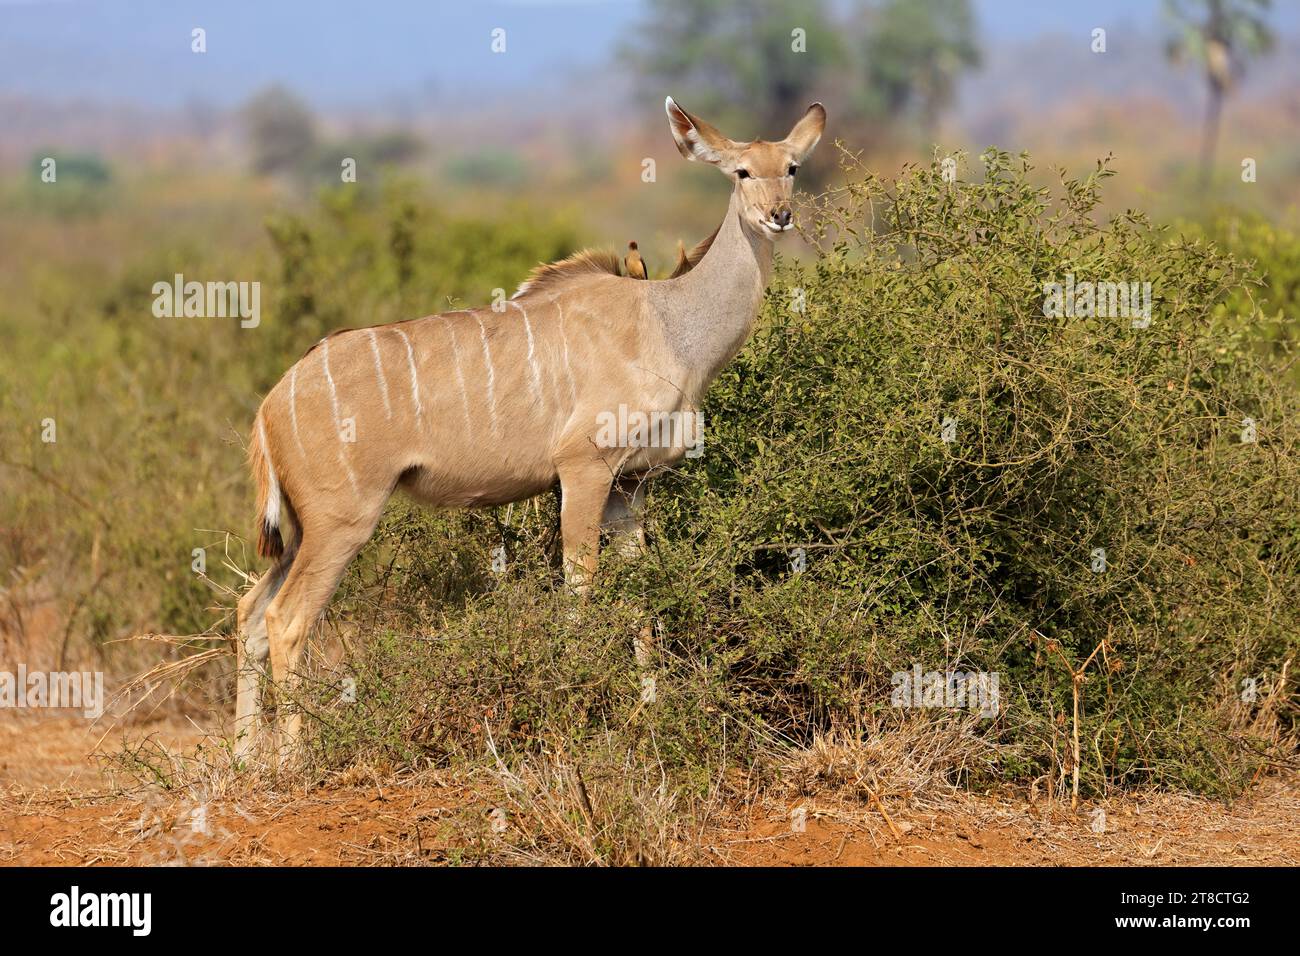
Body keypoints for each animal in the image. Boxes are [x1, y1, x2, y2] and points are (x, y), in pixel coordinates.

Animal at [233, 97, 821, 754]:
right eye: (742, 171)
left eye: (792, 167)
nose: (779, 215)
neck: (669, 324)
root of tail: (271, 406)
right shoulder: (585, 468)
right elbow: (580, 588)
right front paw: (579, 711)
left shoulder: (630, 486)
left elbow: (639, 591)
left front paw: (652, 711)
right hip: (342, 522)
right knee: (287, 619)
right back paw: (292, 757)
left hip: (300, 531)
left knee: (250, 611)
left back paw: (245, 759)